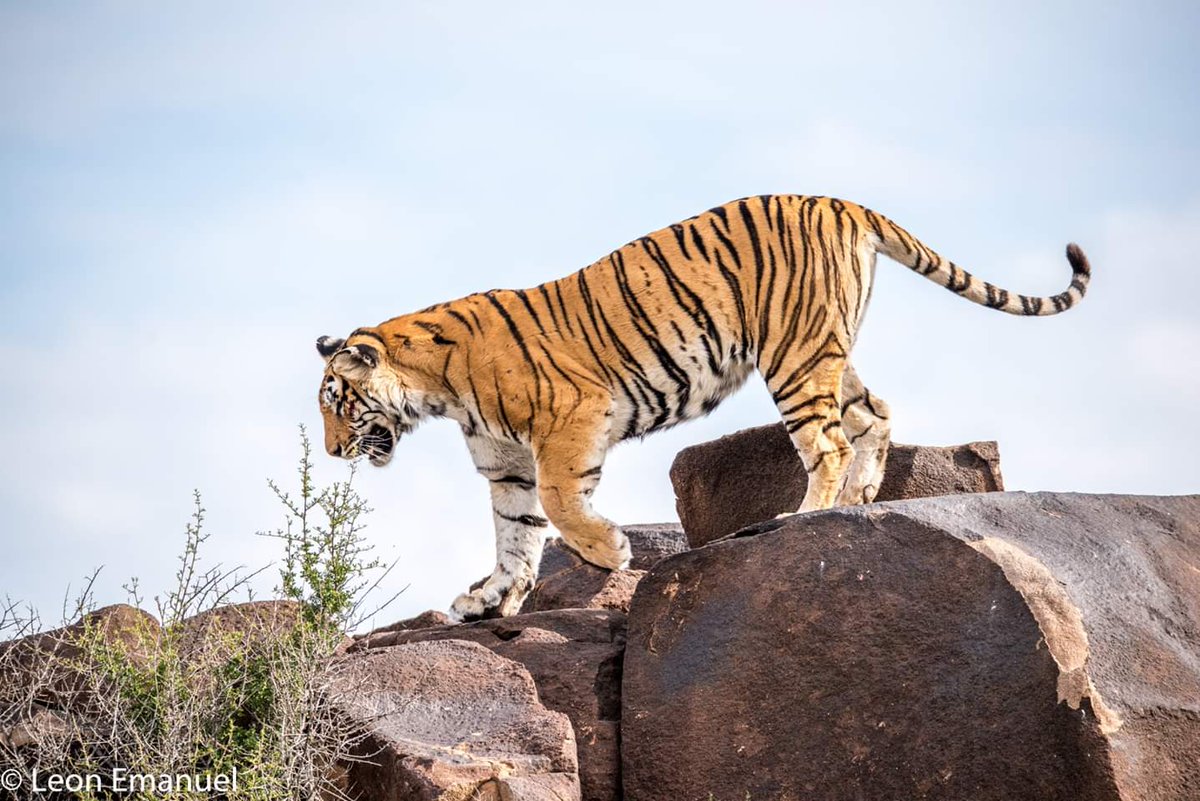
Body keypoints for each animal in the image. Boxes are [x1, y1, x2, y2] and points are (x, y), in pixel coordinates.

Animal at [315, 195, 1090, 620]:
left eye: (337, 403)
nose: (329, 451)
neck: (438, 390)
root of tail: (841, 203)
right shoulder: (506, 467)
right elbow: (516, 534)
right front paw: (489, 599)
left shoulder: (572, 419)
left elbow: (560, 505)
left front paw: (609, 550)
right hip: (827, 351)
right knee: (874, 411)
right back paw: (862, 497)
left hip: (794, 352)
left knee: (828, 443)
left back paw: (802, 516)